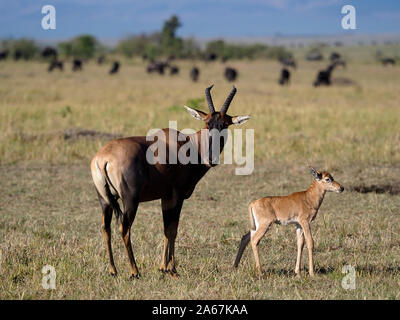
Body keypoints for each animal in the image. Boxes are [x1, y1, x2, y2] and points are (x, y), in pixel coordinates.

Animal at [90, 85, 250, 278]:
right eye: (207, 124)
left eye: (224, 125)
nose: (211, 159)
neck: (188, 145)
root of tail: (104, 158)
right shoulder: (177, 195)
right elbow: (173, 228)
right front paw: (172, 269)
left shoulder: (165, 197)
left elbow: (166, 229)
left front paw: (162, 267)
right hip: (130, 200)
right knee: (124, 228)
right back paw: (135, 271)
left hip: (105, 200)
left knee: (105, 228)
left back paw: (113, 270)